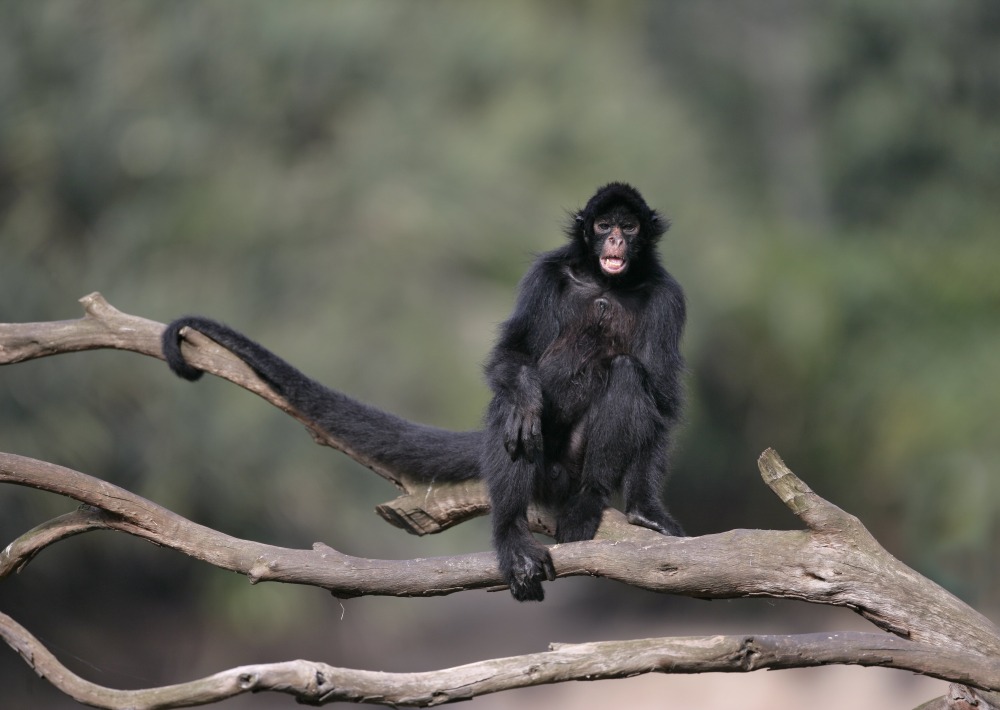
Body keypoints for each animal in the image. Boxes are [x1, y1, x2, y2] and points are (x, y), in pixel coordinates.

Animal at [160, 181, 684, 604]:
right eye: (602, 224)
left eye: (630, 226)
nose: (615, 239)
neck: (603, 282)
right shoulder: (547, 272)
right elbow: (512, 357)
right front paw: (525, 399)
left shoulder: (667, 295)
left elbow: (662, 398)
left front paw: (646, 509)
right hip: (547, 470)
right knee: (514, 410)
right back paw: (511, 535)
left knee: (627, 374)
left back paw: (587, 500)